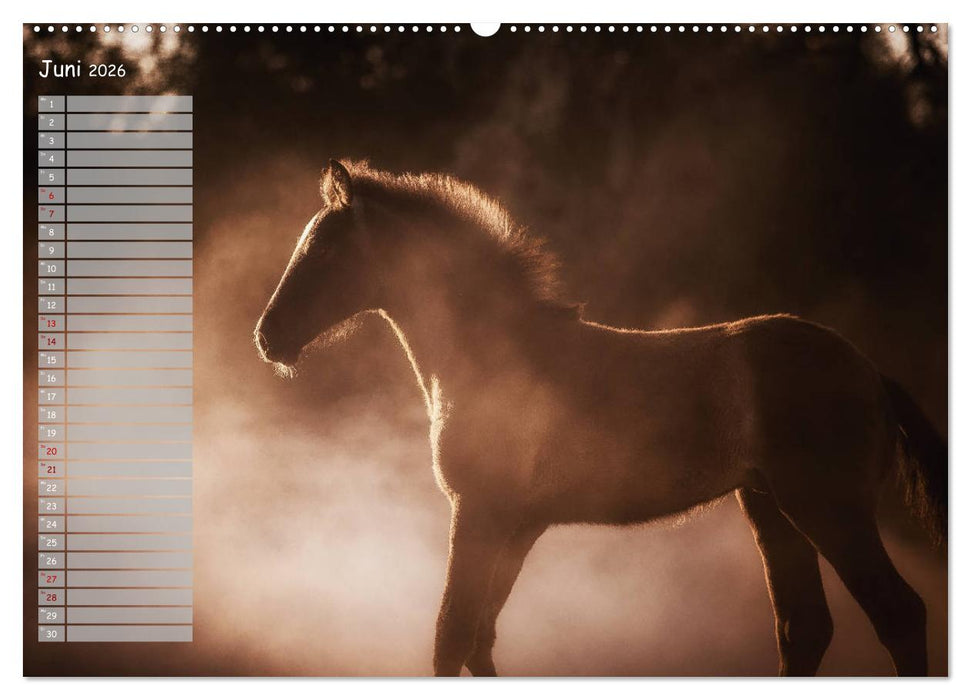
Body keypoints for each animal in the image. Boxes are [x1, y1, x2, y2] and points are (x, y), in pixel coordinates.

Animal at [254, 159, 946, 677]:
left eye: (325, 252)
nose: (268, 336)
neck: (491, 353)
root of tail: (869, 371)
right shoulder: (518, 523)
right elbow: (479, 638)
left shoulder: (478, 511)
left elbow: (451, 639)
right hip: (770, 508)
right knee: (804, 629)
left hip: (826, 507)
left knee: (899, 614)